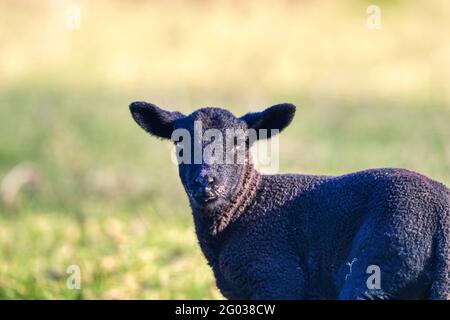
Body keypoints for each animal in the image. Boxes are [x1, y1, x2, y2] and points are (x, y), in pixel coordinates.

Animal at [128, 100, 448, 300]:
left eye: (241, 143)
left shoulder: (277, 279)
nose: (205, 181)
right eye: (179, 142)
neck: (246, 206)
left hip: (378, 264)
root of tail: (439, 221)